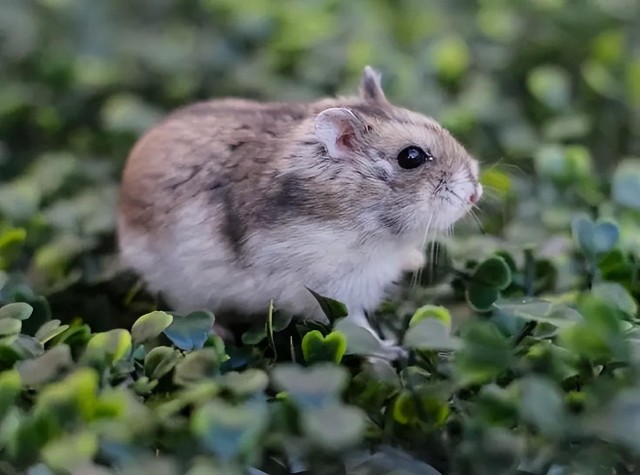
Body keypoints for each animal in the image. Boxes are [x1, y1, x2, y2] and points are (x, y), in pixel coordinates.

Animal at [119, 66, 480, 356]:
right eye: (411, 157)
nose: (475, 194)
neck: (365, 214)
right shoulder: (332, 291)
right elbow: (357, 328)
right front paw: (395, 350)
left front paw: (414, 260)